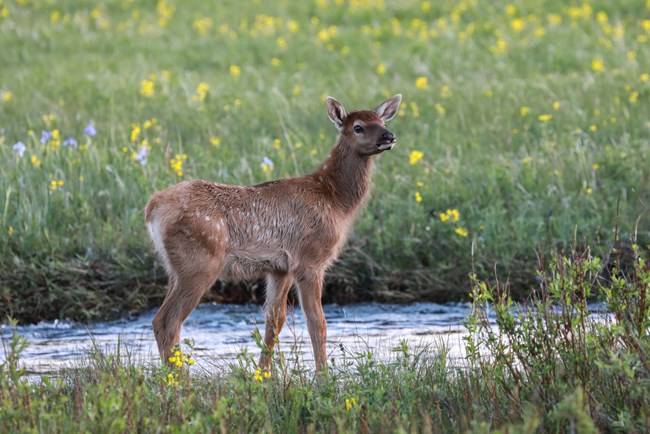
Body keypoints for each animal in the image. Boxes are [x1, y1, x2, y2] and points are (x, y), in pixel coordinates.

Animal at [146, 94, 400, 370]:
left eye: (382, 121)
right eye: (358, 127)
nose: (389, 136)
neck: (334, 200)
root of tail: (153, 207)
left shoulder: (280, 267)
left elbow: (275, 320)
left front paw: (263, 375)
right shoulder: (309, 259)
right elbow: (317, 322)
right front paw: (323, 375)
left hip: (176, 267)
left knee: (162, 320)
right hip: (199, 261)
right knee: (168, 320)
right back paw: (180, 378)